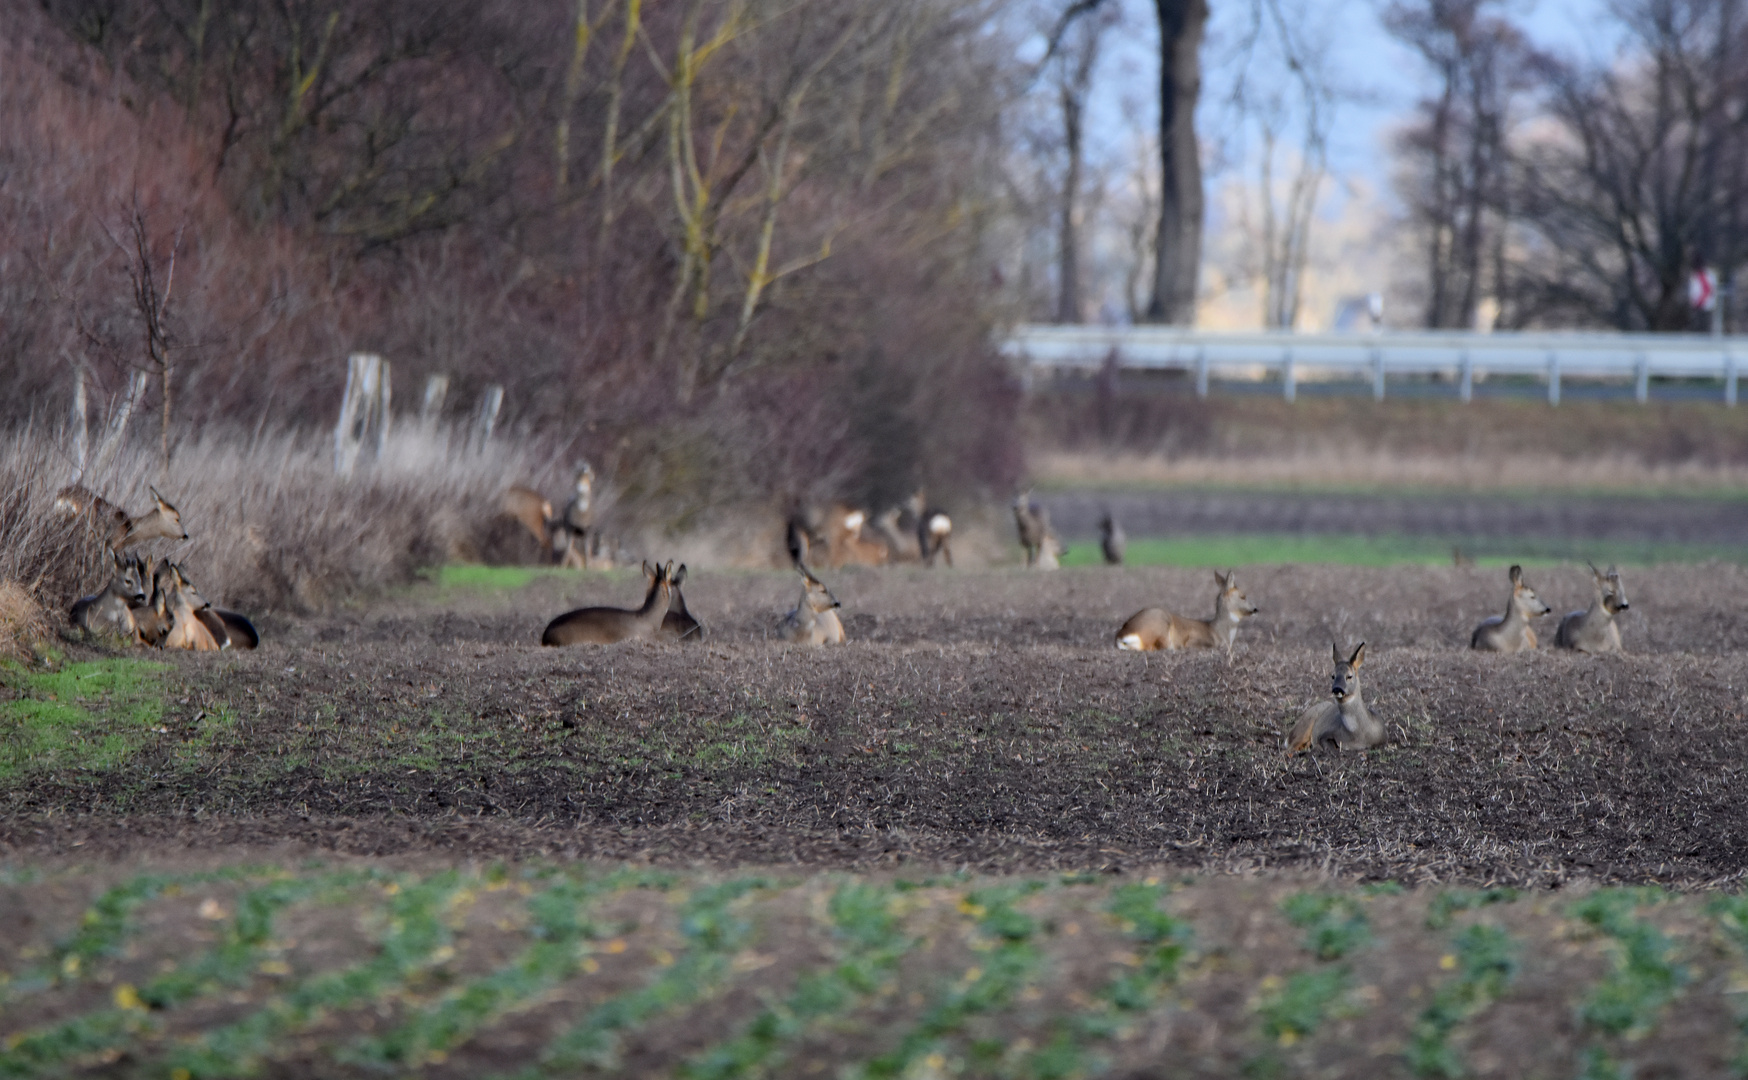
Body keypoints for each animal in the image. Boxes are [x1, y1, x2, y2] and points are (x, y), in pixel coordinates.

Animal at [1118, 566, 1258, 650]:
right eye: (1243, 596)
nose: (1256, 609)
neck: (1218, 632)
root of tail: (1122, 635)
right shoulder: (1194, 638)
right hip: (1159, 625)